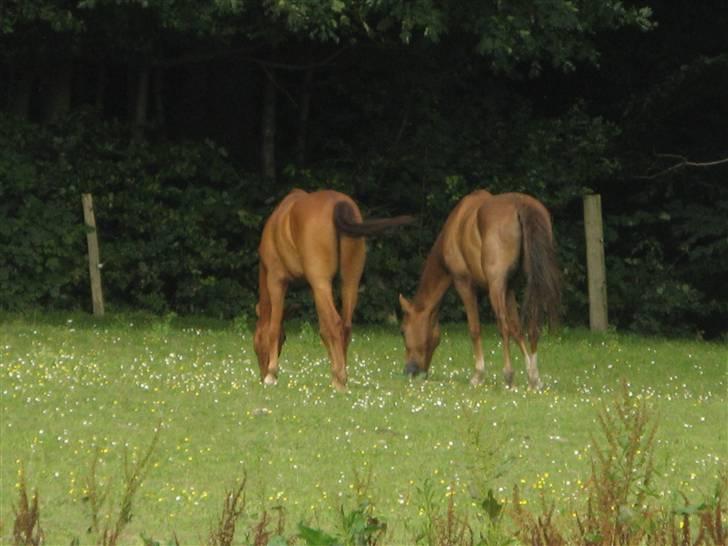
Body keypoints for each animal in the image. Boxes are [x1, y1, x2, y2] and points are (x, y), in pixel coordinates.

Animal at [253, 189, 412, 388]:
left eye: (255, 344)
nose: (261, 375)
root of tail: (339, 204)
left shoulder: (277, 280)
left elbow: (273, 328)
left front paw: (272, 374)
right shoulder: (315, 288)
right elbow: (323, 330)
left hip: (321, 282)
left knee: (335, 323)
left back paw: (340, 379)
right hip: (349, 280)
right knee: (345, 325)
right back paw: (340, 377)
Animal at [398, 190, 564, 386]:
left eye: (403, 331)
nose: (409, 371)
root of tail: (520, 204)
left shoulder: (464, 284)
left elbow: (475, 329)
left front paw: (478, 375)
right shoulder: (509, 288)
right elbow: (517, 329)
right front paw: (532, 375)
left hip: (495, 286)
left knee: (503, 325)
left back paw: (508, 373)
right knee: (532, 325)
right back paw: (534, 376)